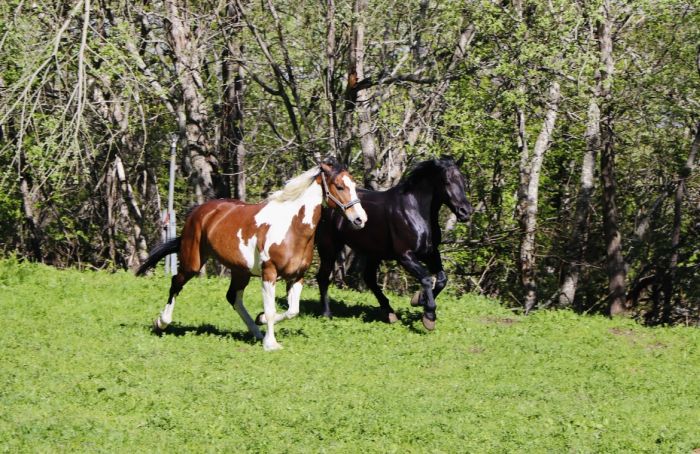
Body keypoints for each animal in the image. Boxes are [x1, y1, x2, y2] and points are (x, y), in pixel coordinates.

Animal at [135, 160, 366, 352]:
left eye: (354, 186)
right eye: (340, 186)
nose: (360, 219)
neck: (292, 229)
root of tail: (200, 210)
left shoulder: (296, 277)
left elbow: (293, 311)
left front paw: (261, 320)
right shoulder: (269, 274)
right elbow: (272, 310)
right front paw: (271, 343)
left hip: (240, 271)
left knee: (233, 297)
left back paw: (256, 333)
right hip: (193, 261)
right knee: (176, 283)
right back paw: (161, 322)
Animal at [316, 156, 470, 330]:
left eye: (463, 180)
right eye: (446, 181)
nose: (466, 211)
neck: (415, 210)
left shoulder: (430, 252)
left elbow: (442, 279)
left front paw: (418, 299)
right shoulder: (405, 255)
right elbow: (426, 278)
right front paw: (429, 315)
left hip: (373, 253)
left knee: (369, 278)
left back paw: (389, 312)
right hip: (329, 248)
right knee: (323, 277)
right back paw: (326, 314)